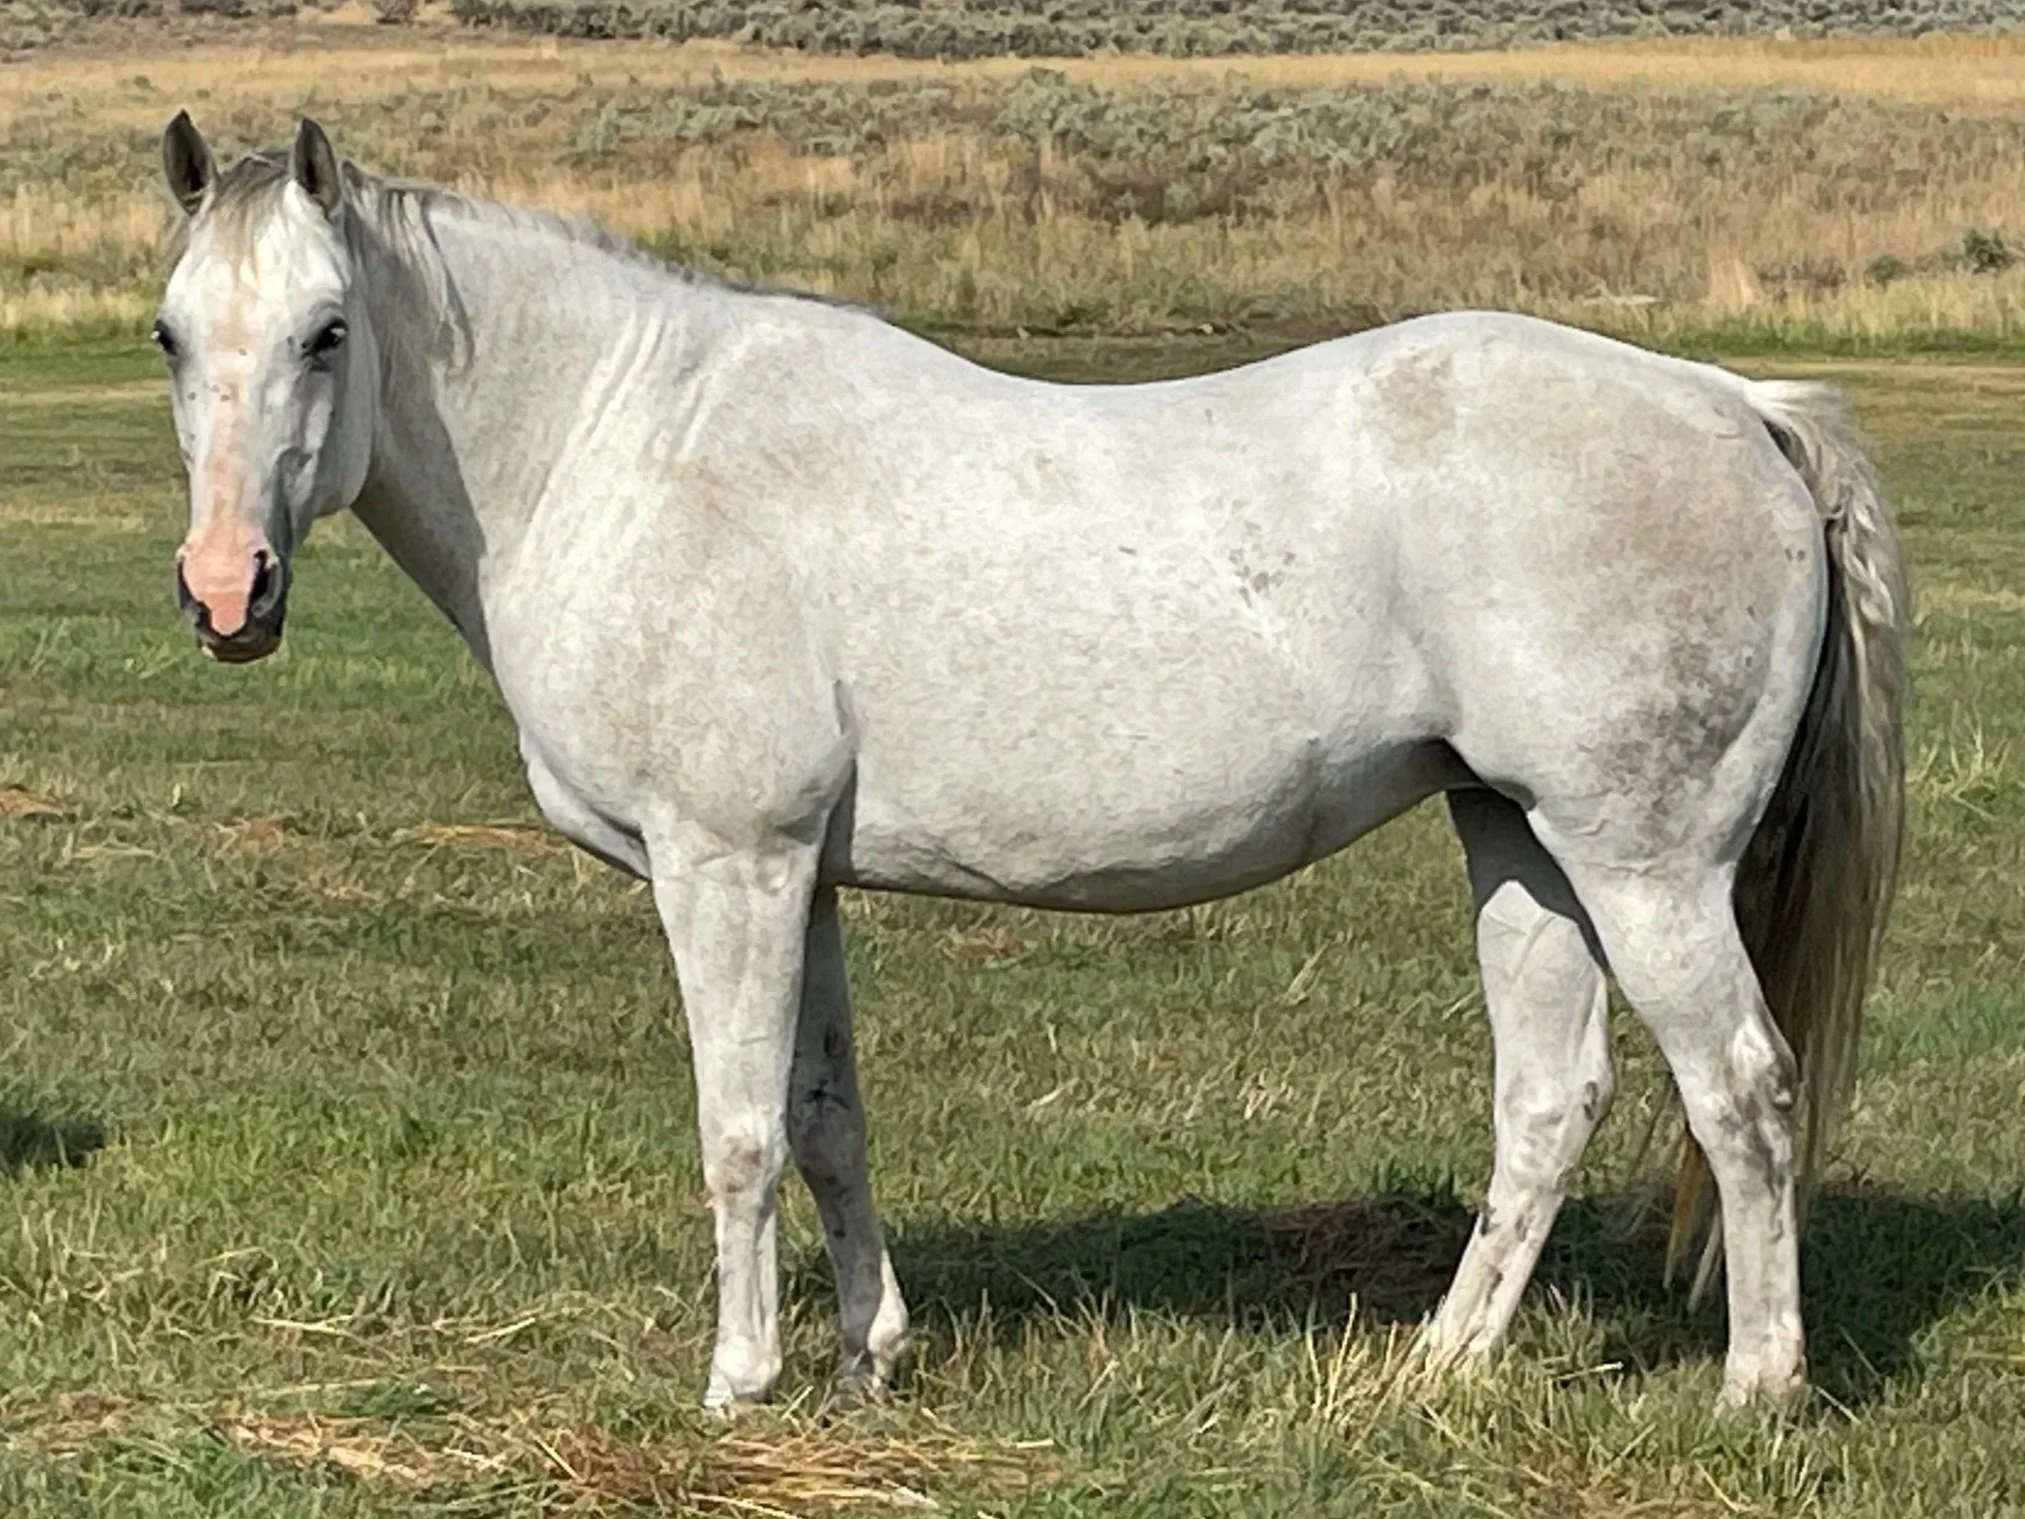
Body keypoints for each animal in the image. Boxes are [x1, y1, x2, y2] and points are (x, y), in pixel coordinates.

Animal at [150, 114, 1906, 1410]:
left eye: (325, 331)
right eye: (170, 335)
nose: (227, 591)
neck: (623, 448)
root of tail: (1736, 406)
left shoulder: (727, 864)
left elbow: (737, 1128)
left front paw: (738, 1381)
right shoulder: (801, 878)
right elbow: (824, 1113)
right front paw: (866, 1355)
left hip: (1644, 862)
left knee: (1741, 1089)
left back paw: (1755, 1385)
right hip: (1520, 839)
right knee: (1549, 1095)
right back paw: (1441, 1362)